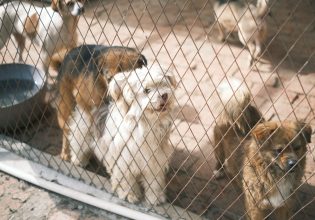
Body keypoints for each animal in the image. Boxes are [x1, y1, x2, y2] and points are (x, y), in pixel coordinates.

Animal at [69, 65, 178, 205]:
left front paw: (155, 197)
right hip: (82, 130)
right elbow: (126, 181)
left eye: (163, 84)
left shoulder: (155, 160)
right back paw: (78, 161)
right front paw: (129, 195)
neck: (145, 125)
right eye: (146, 90)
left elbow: (154, 182)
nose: (164, 95)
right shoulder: (123, 161)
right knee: (77, 144)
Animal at [215, 78, 314, 219]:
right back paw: (218, 171)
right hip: (218, 145)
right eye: (278, 150)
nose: (293, 163)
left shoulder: (284, 206)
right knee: (219, 158)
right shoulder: (256, 208)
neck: (276, 176)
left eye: (297, 148)